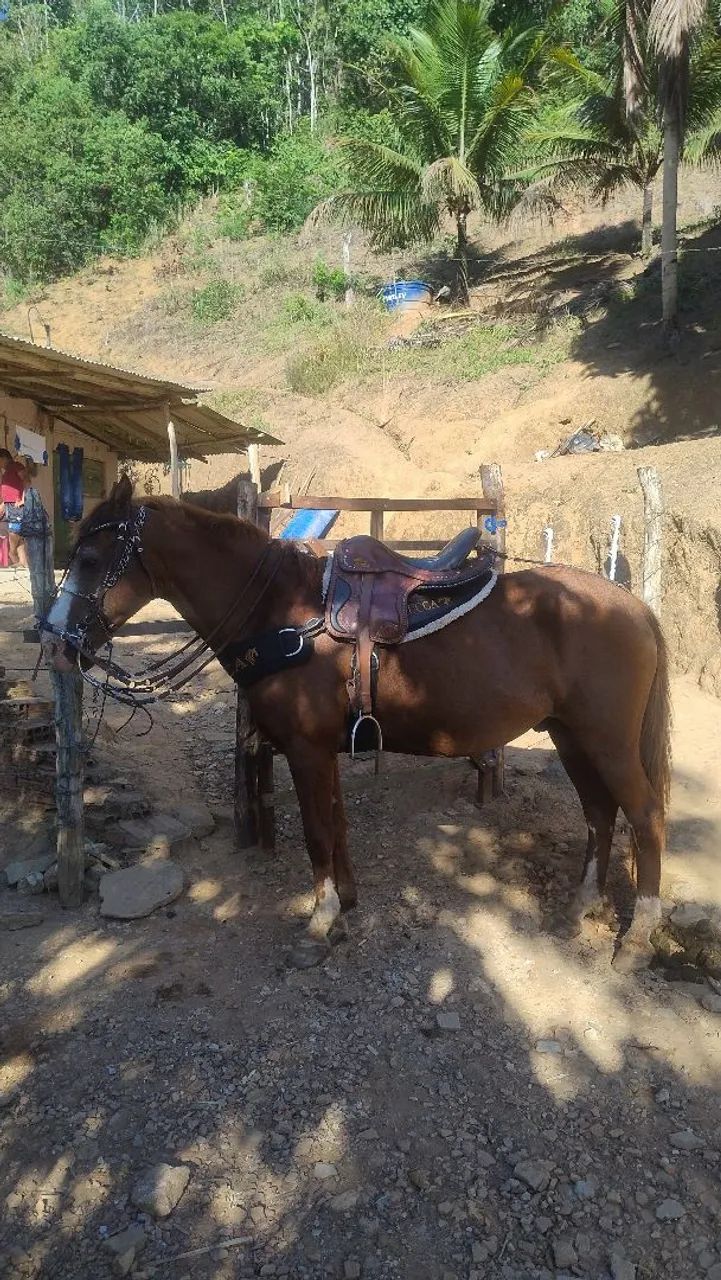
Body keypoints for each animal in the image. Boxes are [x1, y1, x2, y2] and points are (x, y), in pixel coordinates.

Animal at [41, 474, 671, 972]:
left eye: (91, 561)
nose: (56, 644)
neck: (283, 612)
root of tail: (635, 605)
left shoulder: (305, 749)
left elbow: (318, 833)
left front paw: (318, 926)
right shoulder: (326, 748)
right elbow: (338, 827)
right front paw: (344, 905)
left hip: (607, 741)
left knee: (643, 816)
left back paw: (638, 937)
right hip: (571, 736)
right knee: (599, 813)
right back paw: (581, 906)